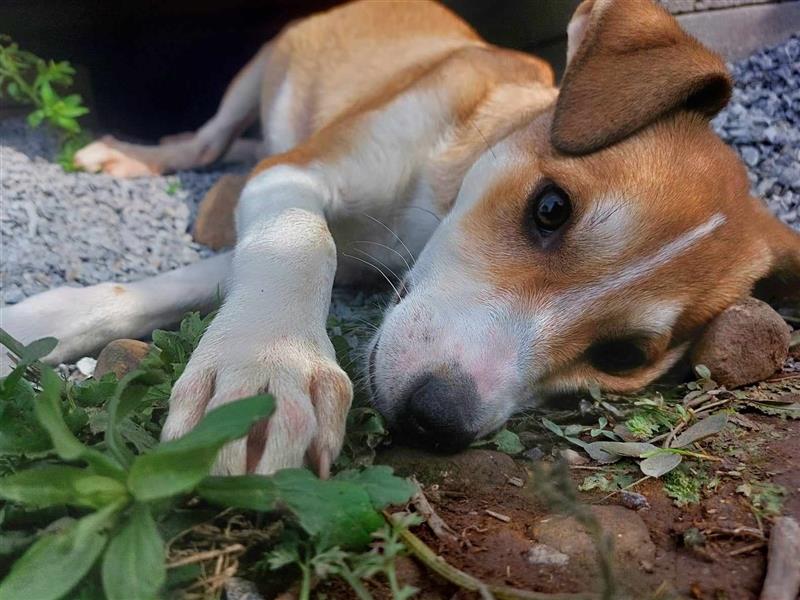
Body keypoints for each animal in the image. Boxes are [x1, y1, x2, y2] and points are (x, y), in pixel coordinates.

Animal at [3, 0, 796, 478]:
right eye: (550, 208)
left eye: (622, 356)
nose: (435, 420)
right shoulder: (294, 176)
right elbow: (300, 244)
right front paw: (267, 368)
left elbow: (212, 274)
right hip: (261, 68)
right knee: (211, 139)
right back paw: (142, 155)